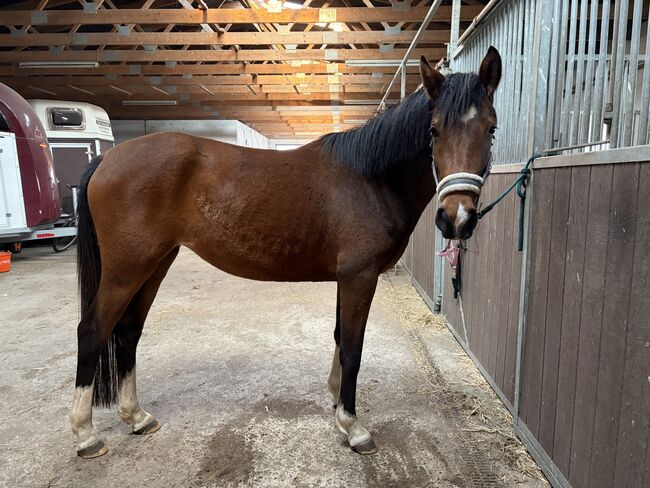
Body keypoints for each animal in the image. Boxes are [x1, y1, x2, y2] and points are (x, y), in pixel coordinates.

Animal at [70, 47, 501, 458]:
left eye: (491, 129)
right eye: (433, 130)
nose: (457, 218)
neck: (370, 178)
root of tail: (108, 157)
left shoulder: (347, 279)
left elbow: (340, 337)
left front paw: (335, 402)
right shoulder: (359, 277)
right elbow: (353, 350)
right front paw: (354, 427)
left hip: (155, 263)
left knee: (127, 331)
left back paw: (137, 417)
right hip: (126, 269)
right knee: (92, 331)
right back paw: (86, 435)